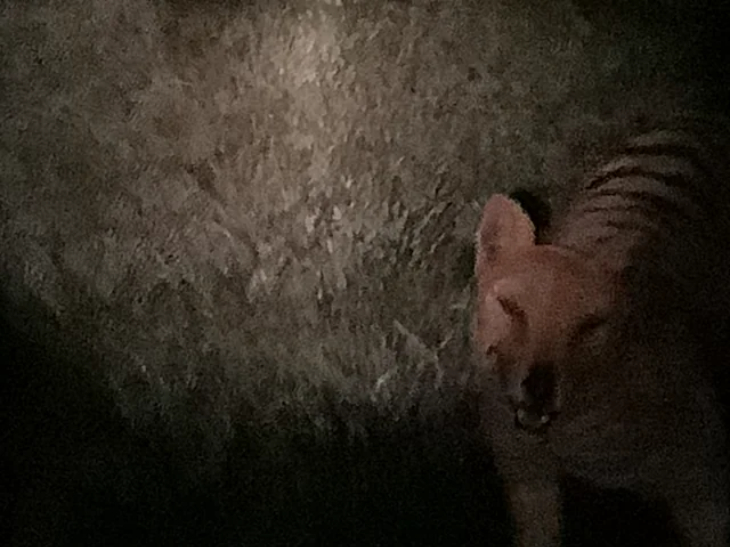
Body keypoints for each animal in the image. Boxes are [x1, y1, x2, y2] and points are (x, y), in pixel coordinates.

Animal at [472, 123, 730, 547]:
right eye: (510, 307)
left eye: (590, 325)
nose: (538, 388)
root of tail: (685, 126)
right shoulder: (527, 478)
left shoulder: (703, 487)